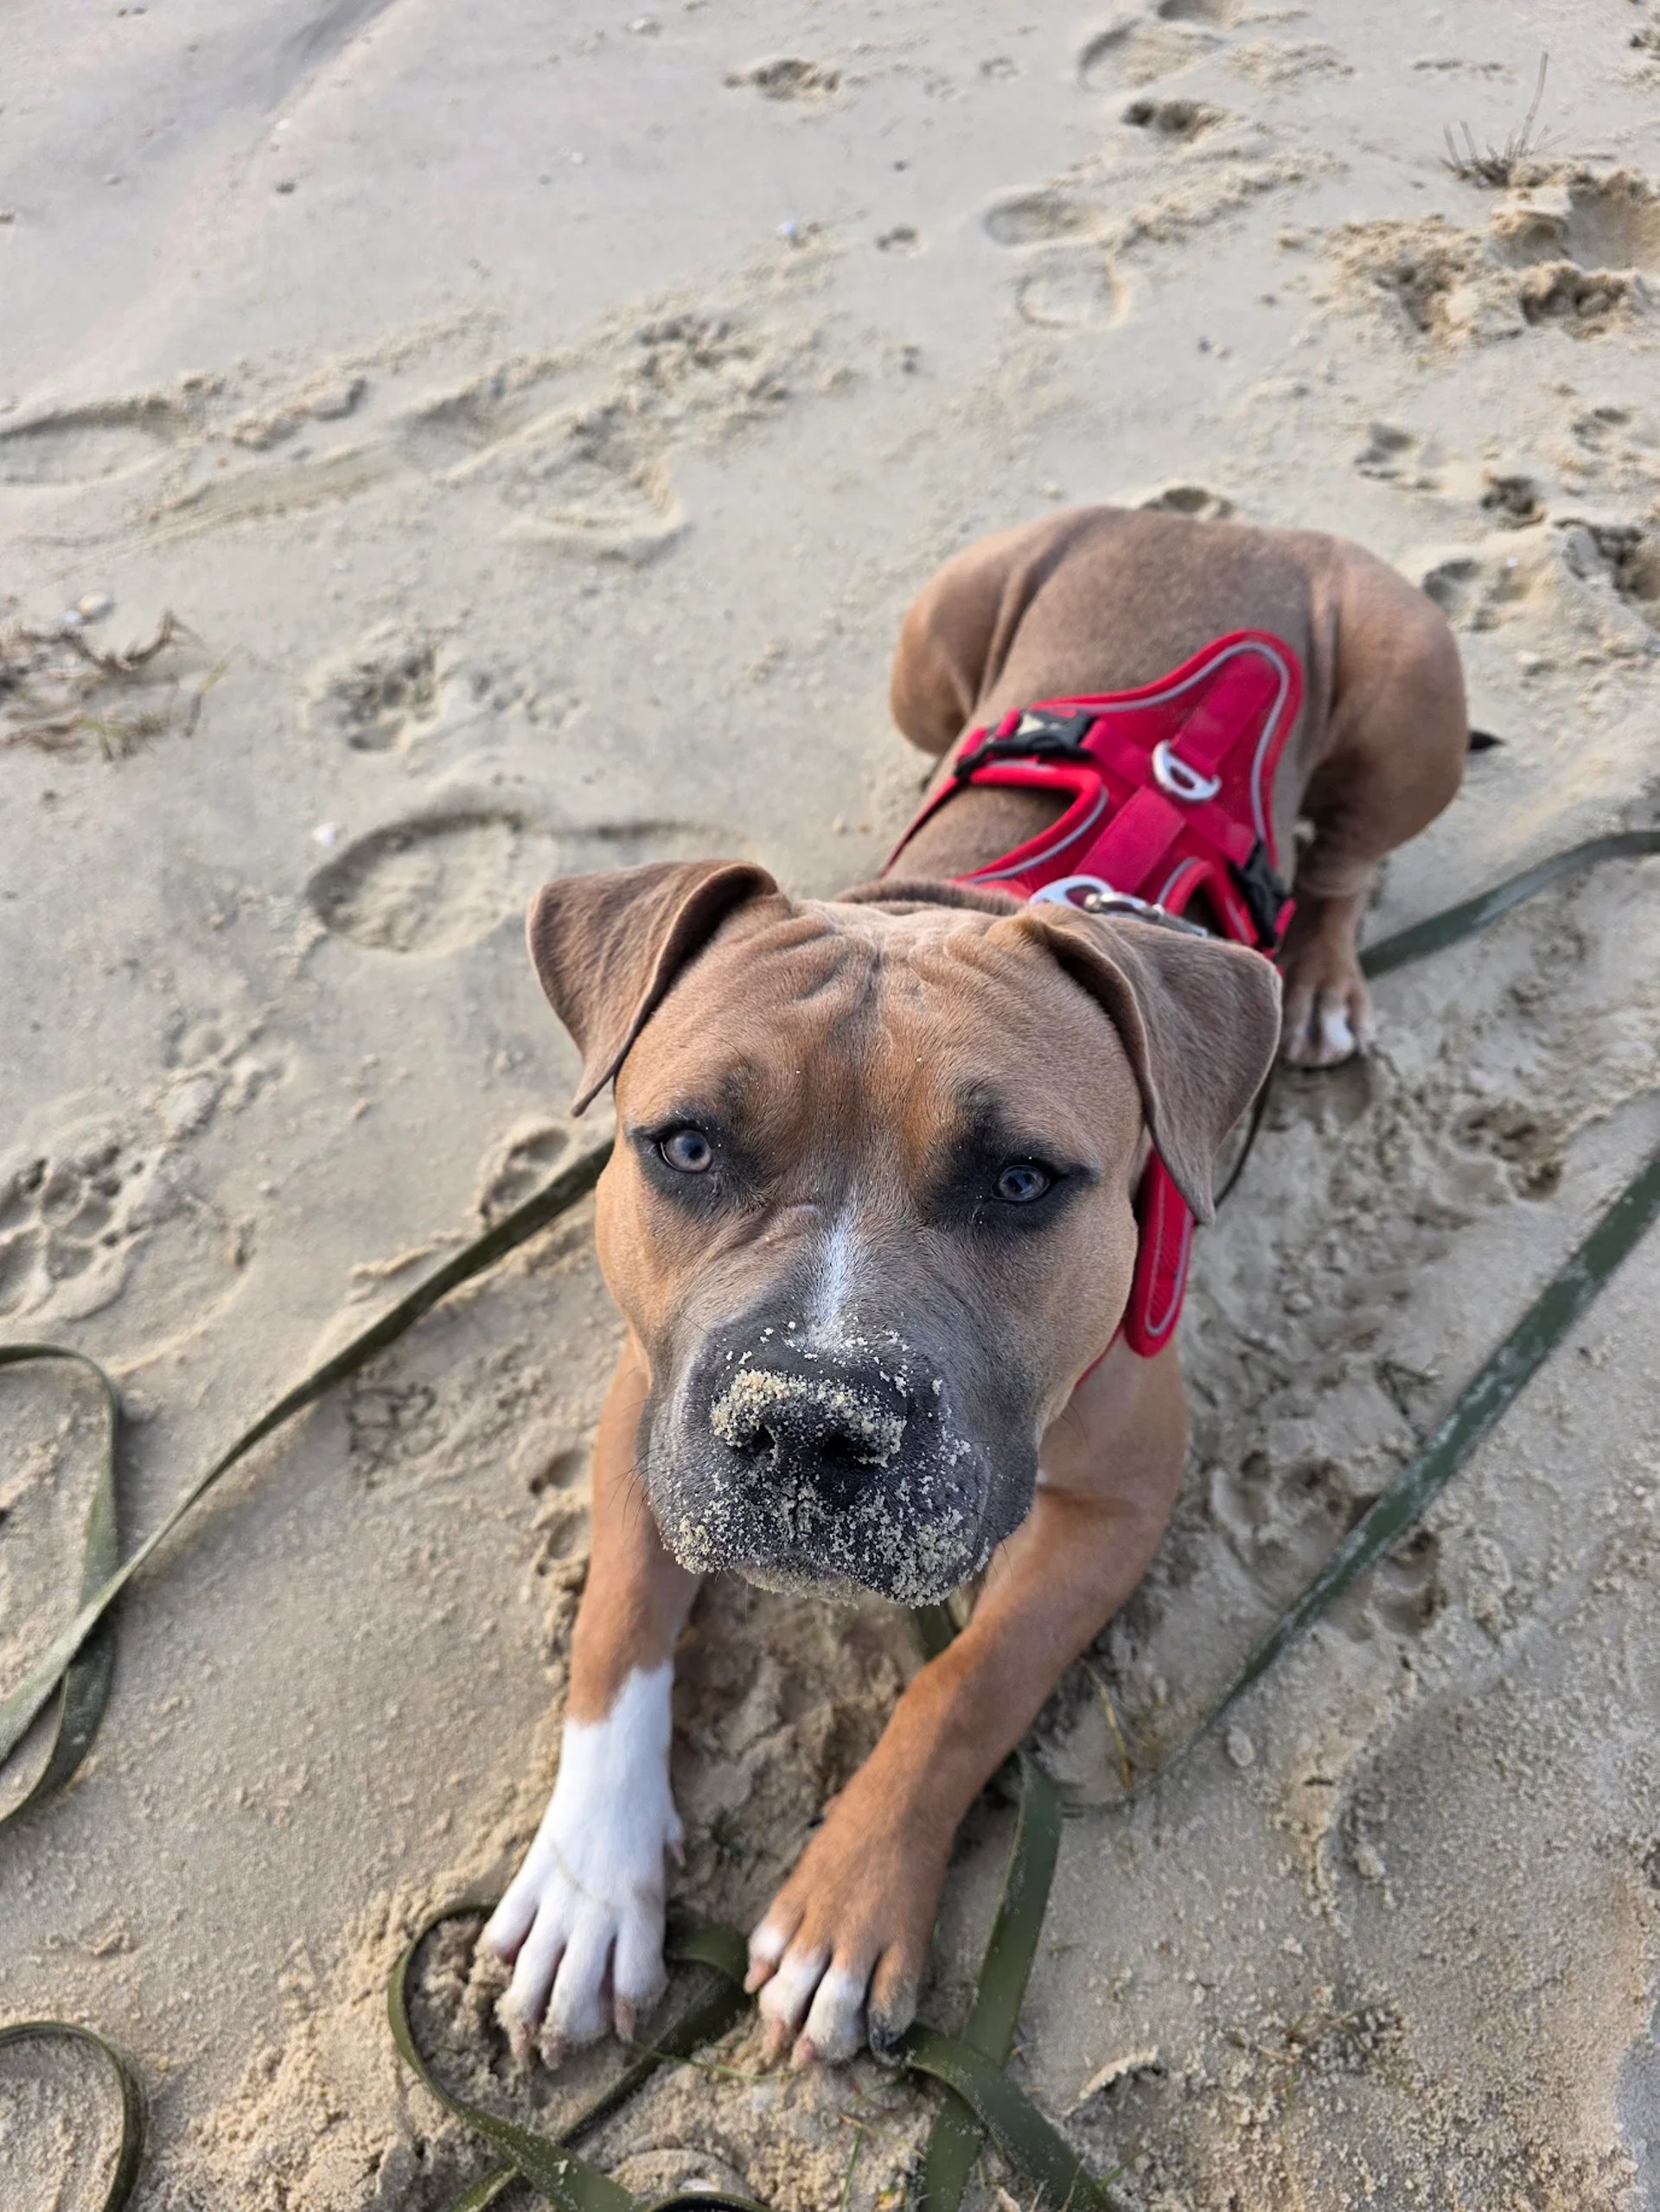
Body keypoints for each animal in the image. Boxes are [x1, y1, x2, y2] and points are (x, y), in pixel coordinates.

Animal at [482, 506, 1468, 2069]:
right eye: (686, 1144)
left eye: (1021, 1178)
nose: (806, 1420)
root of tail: (1220, 520)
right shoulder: (648, 1395)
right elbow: (620, 1617)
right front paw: (588, 1877)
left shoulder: (1115, 1500)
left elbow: (967, 1682)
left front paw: (844, 1904)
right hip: (935, 631)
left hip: (1408, 680)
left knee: (1346, 865)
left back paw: (1316, 978)